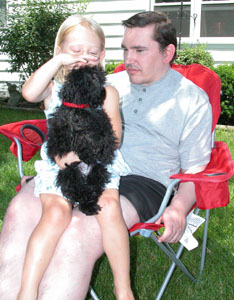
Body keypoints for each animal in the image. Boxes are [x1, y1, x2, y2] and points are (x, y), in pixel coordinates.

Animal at [46, 66, 118, 216]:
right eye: (94, 79)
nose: (104, 91)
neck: (81, 107)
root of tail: (84, 174)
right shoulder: (69, 134)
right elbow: (83, 140)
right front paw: (89, 153)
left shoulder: (103, 124)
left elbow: (107, 138)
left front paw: (105, 154)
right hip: (68, 174)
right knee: (79, 192)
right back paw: (87, 206)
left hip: (98, 171)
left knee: (92, 189)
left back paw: (90, 204)